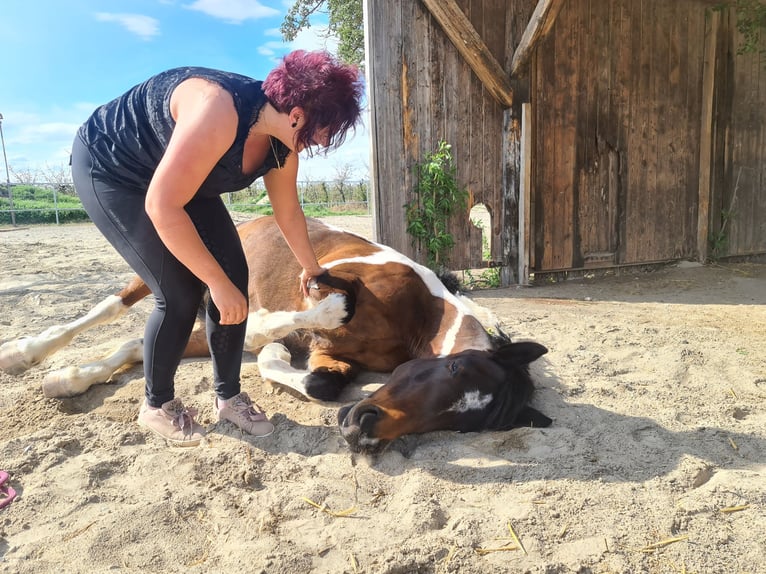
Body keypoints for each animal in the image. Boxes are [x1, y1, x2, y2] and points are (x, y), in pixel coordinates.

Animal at [0, 216, 551, 453]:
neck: (417, 311)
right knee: (112, 307)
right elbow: (285, 321)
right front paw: (268, 345)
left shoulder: (337, 361)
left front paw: (274, 363)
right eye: (453, 366)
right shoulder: (324, 284)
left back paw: (67, 380)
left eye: (462, 426)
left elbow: (321, 382)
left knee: (142, 345)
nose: (363, 430)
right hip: (175, 275)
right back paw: (24, 353)